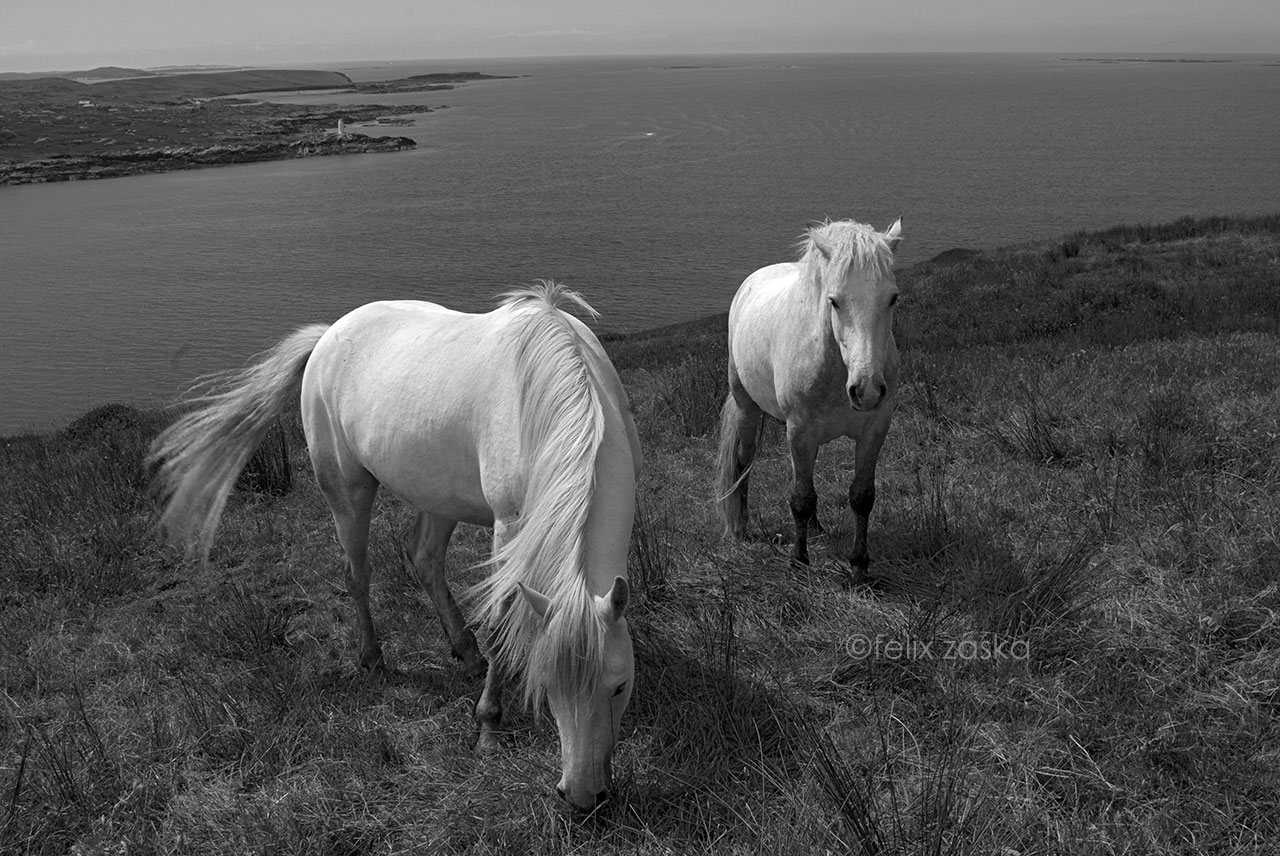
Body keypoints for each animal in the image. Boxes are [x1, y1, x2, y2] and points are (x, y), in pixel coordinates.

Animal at [148, 282, 642, 812]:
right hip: (347, 490)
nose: (583, 796)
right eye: (547, 688)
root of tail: (328, 335)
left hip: (439, 496)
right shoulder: (510, 528)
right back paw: (372, 659)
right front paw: (489, 726)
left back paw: (465, 651)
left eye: (619, 686)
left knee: (424, 558)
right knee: (357, 573)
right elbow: (500, 621)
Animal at [716, 218, 903, 579]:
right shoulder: (800, 432)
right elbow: (801, 498)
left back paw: (815, 527)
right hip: (747, 407)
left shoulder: (875, 429)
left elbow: (862, 496)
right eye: (834, 301)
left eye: (892, 299)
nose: (867, 390)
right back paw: (740, 528)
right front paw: (799, 561)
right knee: (744, 460)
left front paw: (859, 566)